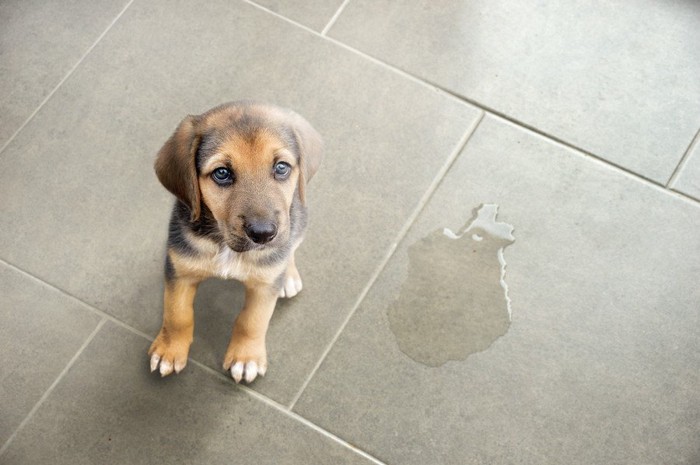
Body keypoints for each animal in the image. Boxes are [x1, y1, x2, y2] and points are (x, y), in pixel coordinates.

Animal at [150, 102, 322, 384]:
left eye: (281, 167)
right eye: (222, 173)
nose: (263, 234)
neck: (225, 245)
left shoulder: (264, 286)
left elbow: (252, 321)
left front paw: (246, 357)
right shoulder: (180, 271)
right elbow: (177, 314)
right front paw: (169, 350)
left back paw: (288, 276)